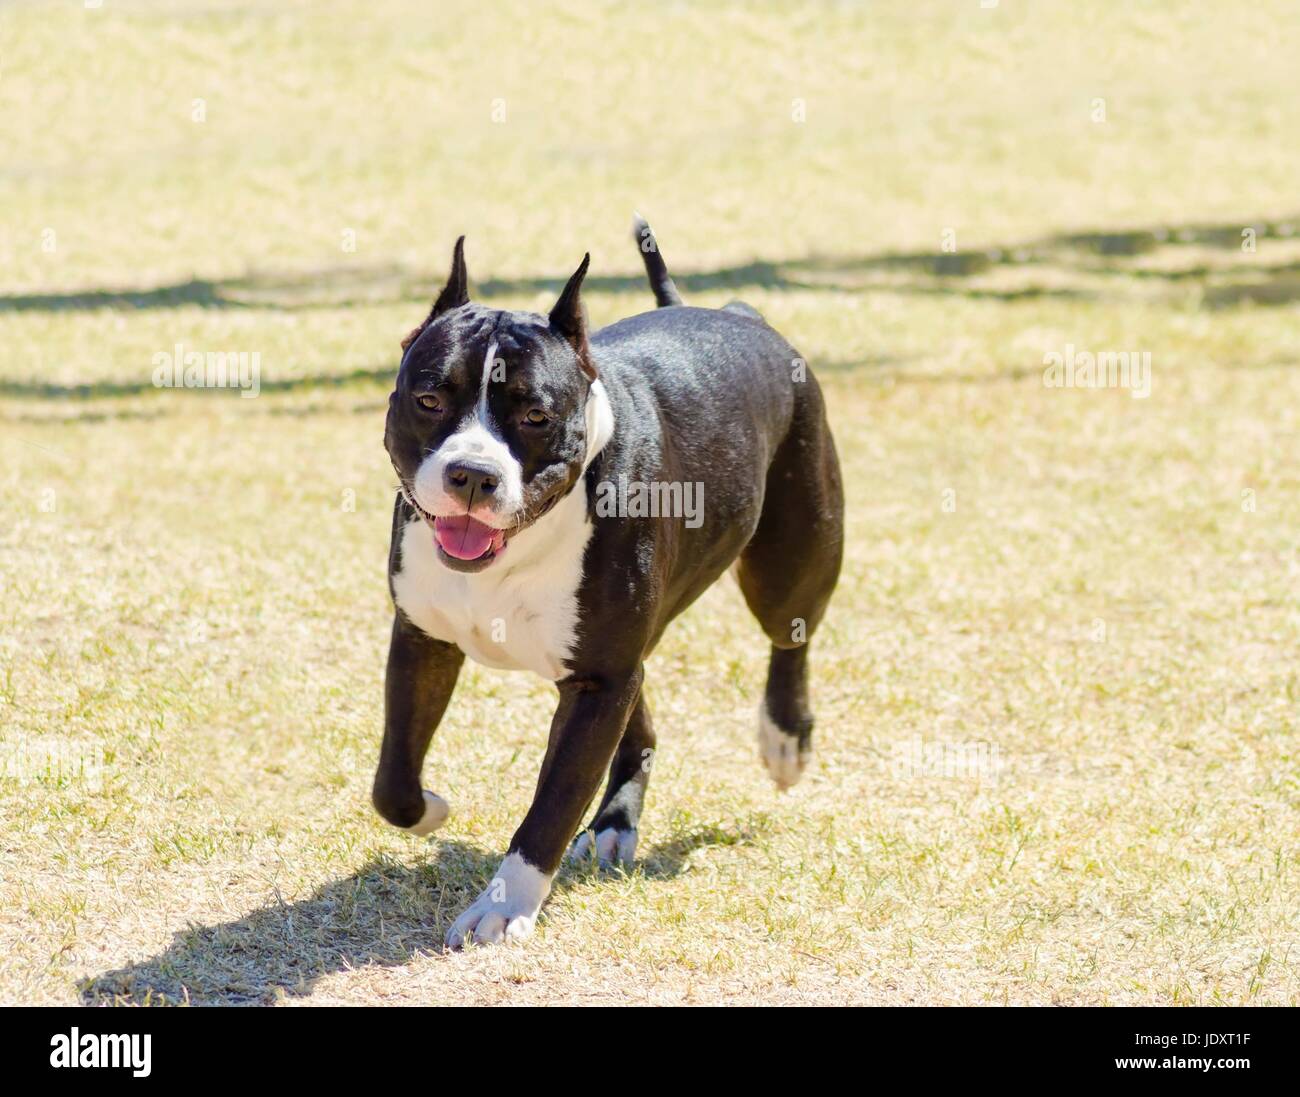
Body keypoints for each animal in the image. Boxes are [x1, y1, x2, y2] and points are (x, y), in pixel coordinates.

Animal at [371, 218, 847, 946]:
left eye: (537, 417)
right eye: (428, 400)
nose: (473, 474)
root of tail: (739, 314)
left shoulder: (597, 683)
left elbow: (552, 803)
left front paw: (504, 905)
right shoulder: (425, 638)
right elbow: (393, 781)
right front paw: (430, 809)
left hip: (794, 553)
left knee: (789, 633)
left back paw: (784, 738)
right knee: (643, 715)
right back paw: (616, 822)